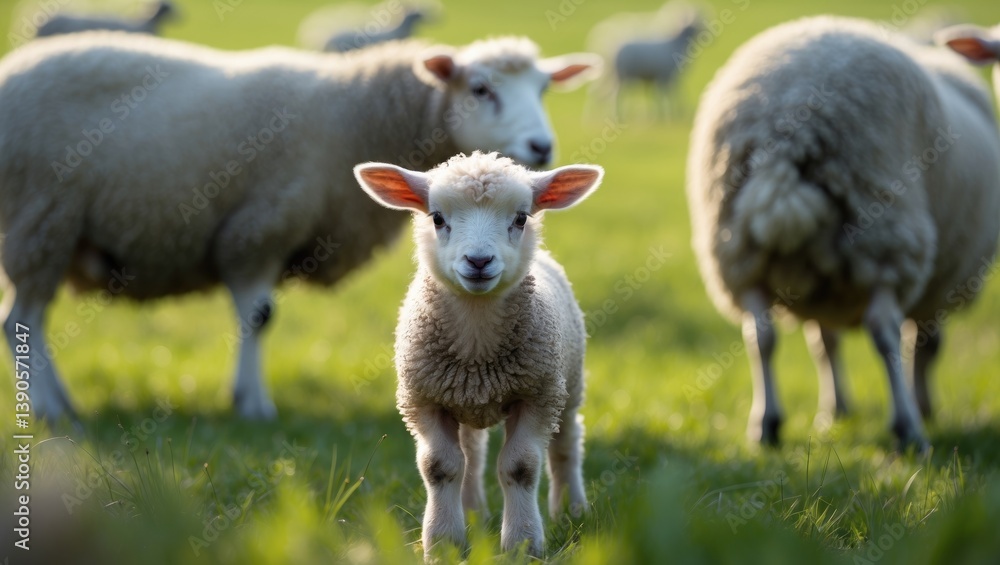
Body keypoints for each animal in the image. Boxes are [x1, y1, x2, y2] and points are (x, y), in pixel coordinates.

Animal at [0, 31, 601, 422]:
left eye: (544, 89)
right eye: (479, 88)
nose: (541, 147)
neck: (351, 114)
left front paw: (245, 398)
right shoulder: (256, 229)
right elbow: (259, 318)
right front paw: (254, 406)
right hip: (39, 220)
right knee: (21, 322)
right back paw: (52, 412)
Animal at [354, 151, 603, 556]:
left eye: (521, 218)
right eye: (437, 218)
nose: (479, 261)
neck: (477, 348)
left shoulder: (537, 395)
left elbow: (521, 466)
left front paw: (523, 544)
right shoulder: (423, 399)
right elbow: (440, 466)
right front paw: (443, 543)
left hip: (569, 383)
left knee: (566, 444)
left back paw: (570, 508)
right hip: (463, 400)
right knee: (470, 456)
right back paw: (472, 512)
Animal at [686, 16, 1000, 451]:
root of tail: (787, 126)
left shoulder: (821, 285)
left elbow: (825, 343)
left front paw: (835, 409)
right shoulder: (941, 283)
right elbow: (923, 346)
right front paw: (921, 406)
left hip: (738, 252)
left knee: (760, 334)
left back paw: (766, 425)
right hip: (886, 232)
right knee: (883, 330)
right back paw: (909, 430)